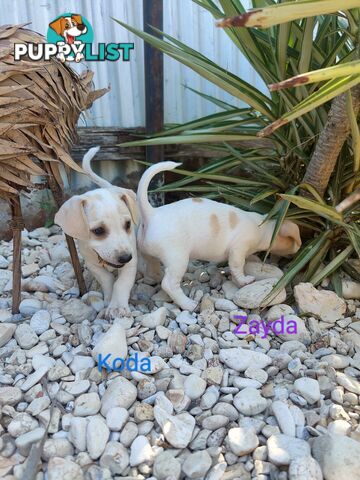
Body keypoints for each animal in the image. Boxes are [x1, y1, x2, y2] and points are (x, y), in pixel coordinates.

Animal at [54, 146, 138, 318]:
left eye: (127, 224)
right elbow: (107, 279)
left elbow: (122, 283)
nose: (125, 257)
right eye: (98, 230)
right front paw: (109, 298)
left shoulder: (131, 262)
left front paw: (118, 306)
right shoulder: (92, 264)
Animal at [136, 161, 302, 312]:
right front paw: (243, 280)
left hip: (149, 254)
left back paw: (155, 277)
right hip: (178, 259)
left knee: (152, 267)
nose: (299, 250)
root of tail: (152, 214)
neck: (264, 226)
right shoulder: (238, 248)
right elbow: (237, 266)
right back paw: (187, 304)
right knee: (169, 284)